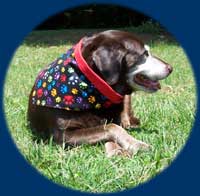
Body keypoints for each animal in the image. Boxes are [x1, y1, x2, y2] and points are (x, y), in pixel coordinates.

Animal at [27, 29, 172, 157]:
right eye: (145, 54)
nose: (171, 68)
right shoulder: (62, 135)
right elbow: (111, 127)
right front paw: (133, 144)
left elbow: (112, 126)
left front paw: (120, 146)